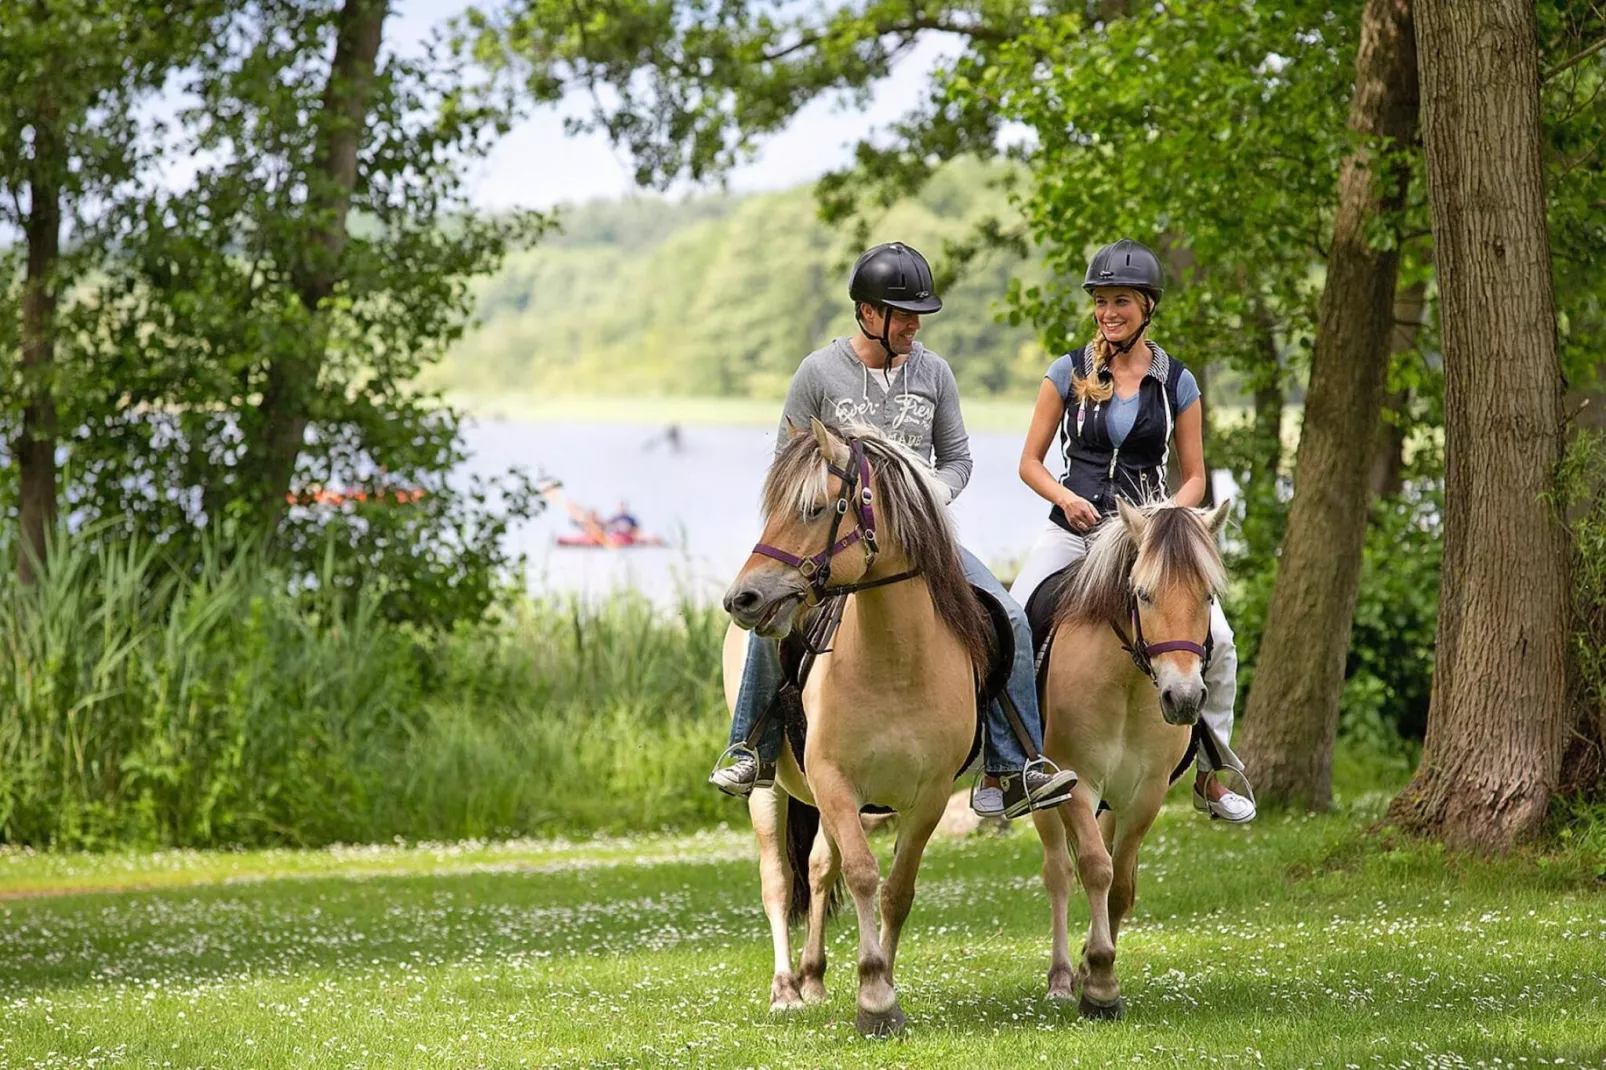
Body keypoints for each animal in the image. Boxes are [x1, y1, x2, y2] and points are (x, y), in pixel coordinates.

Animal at [719, 417, 989, 1034]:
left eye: (815, 509)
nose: (741, 598)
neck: (896, 664)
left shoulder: (928, 797)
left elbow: (896, 890)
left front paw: (884, 983)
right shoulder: (836, 782)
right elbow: (865, 874)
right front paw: (874, 996)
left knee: (819, 868)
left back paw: (814, 977)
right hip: (769, 791)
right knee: (778, 879)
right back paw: (786, 989)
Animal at [1027, 501, 1226, 1015]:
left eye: (1209, 595)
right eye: (1143, 594)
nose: (1184, 698)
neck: (1128, 683)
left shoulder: (1144, 795)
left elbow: (1119, 884)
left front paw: (1099, 975)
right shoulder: (1078, 785)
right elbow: (1096, 869)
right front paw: (1097, 983)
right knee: (1059, 873)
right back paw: (1061, 977)